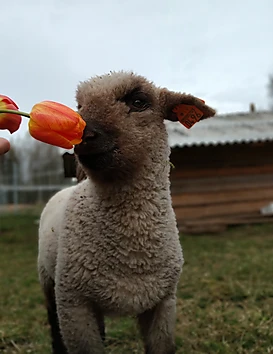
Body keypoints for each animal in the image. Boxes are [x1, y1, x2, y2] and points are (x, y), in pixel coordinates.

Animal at [37, 70, 215, 354]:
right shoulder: (73, 305)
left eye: (138, 101)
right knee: (54, 329)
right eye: (79, 106)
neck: (132, 254)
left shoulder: (163, 302)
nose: (83, 135)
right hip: (48, 281)